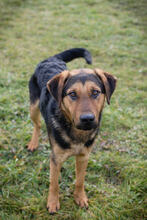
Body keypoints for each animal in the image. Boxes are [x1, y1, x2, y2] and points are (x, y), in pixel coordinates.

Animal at [27, 48, 117, 213]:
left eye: (95, 92)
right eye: (72, 94)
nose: (87, 119)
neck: (76, 132)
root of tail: (52, 59)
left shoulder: (83, 156)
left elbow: (80, 180)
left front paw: (80, 198)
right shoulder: (56, 159)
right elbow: (54, 183)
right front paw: (53, 203)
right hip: (33, 107)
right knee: (37, 125)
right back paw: (33, 143)